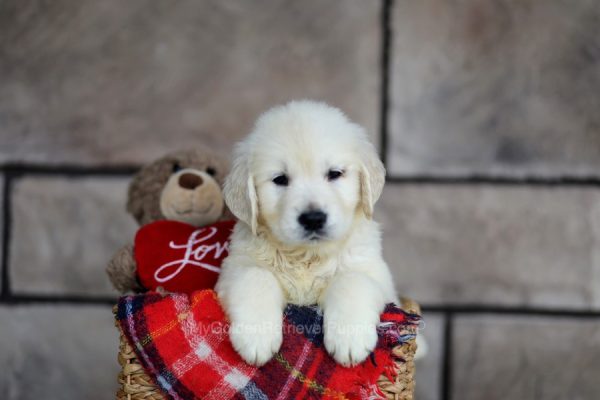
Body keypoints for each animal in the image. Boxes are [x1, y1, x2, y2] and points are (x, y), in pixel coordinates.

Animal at [216, 100, 398, 366]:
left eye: (334, 173)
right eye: (280, 179)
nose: (313, 219)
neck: (307, 255)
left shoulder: (377, 275)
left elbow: (351, 280)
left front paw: (349, 339)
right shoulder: (234, 267)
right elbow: (256, 276)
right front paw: (256, 337)